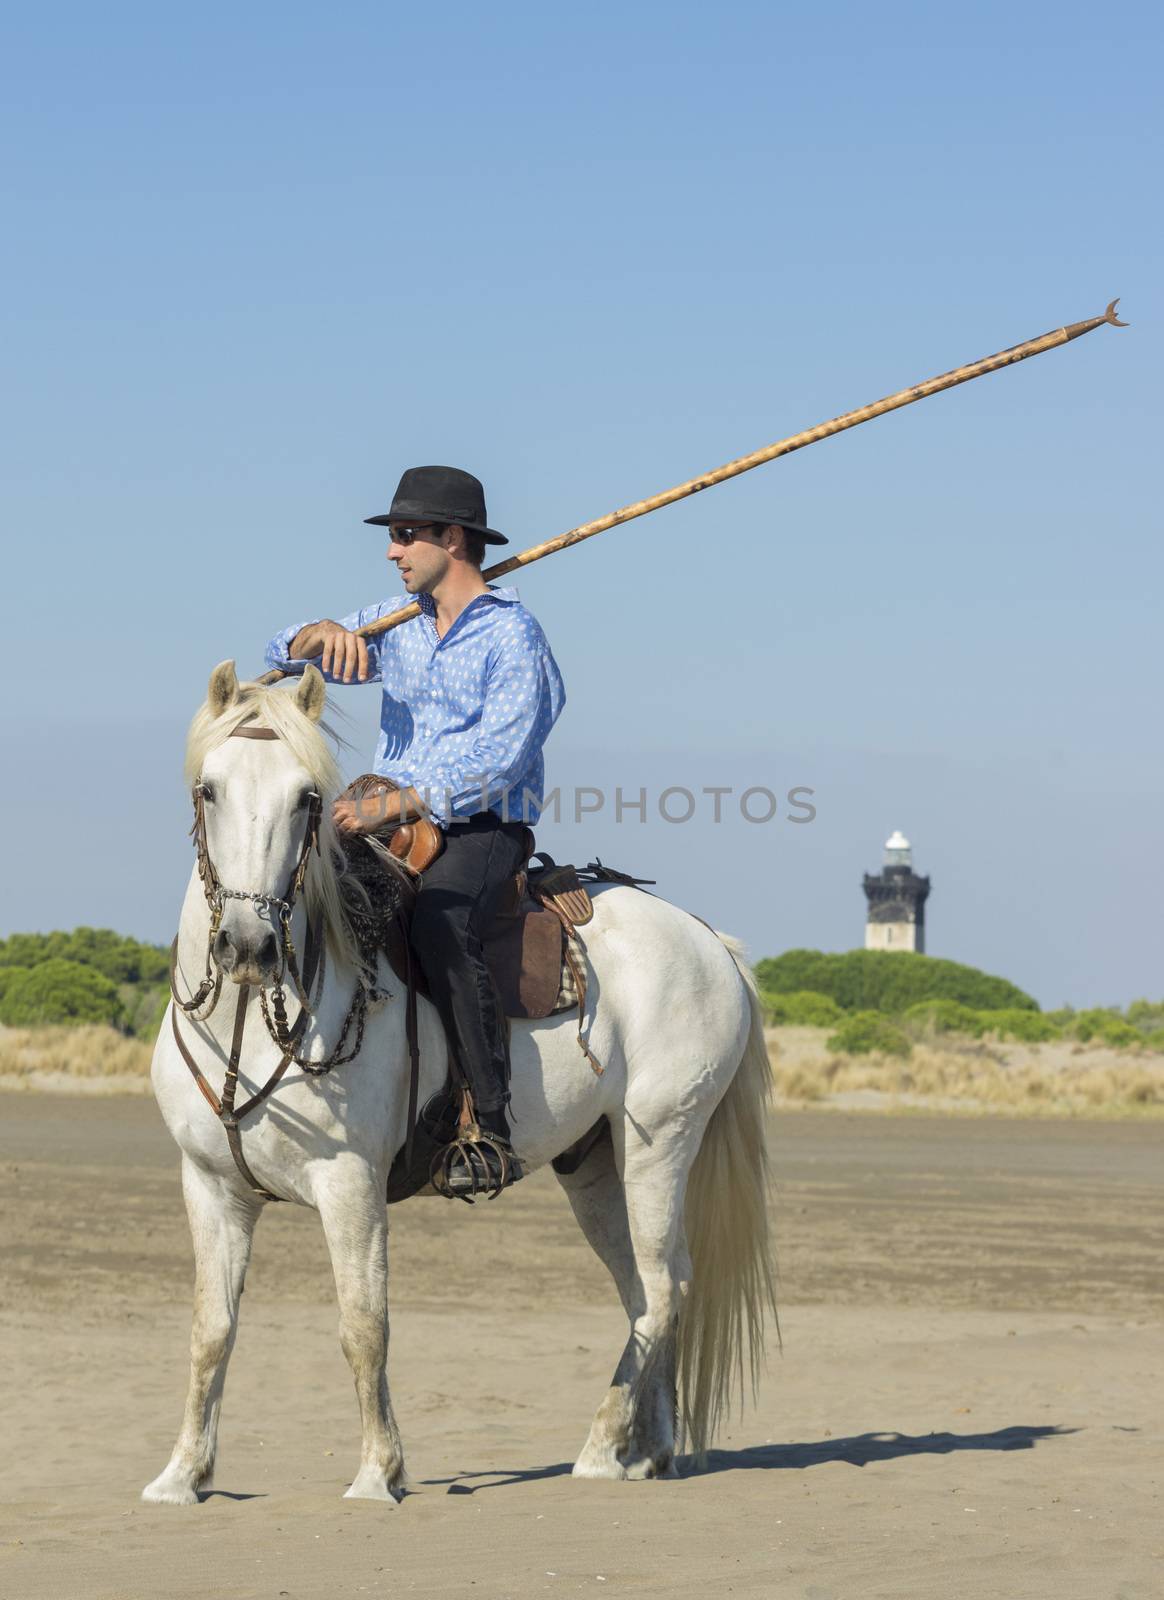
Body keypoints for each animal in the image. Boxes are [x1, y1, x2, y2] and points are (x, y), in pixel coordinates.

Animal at [145, 659, 777, 1497]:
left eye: (307, 798)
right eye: (209, 788)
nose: (248, 946)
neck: (248, 1025)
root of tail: (711, 940)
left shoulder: (349, 1182)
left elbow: (364, 1324)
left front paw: (377, 1473)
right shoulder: (212, 1186)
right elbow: (211, 1330)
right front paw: (182, 1474)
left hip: (661, 1142)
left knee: (664, 1289)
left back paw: (600, 1448)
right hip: (595, 1164)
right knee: (651, 1285)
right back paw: (649, 1450)